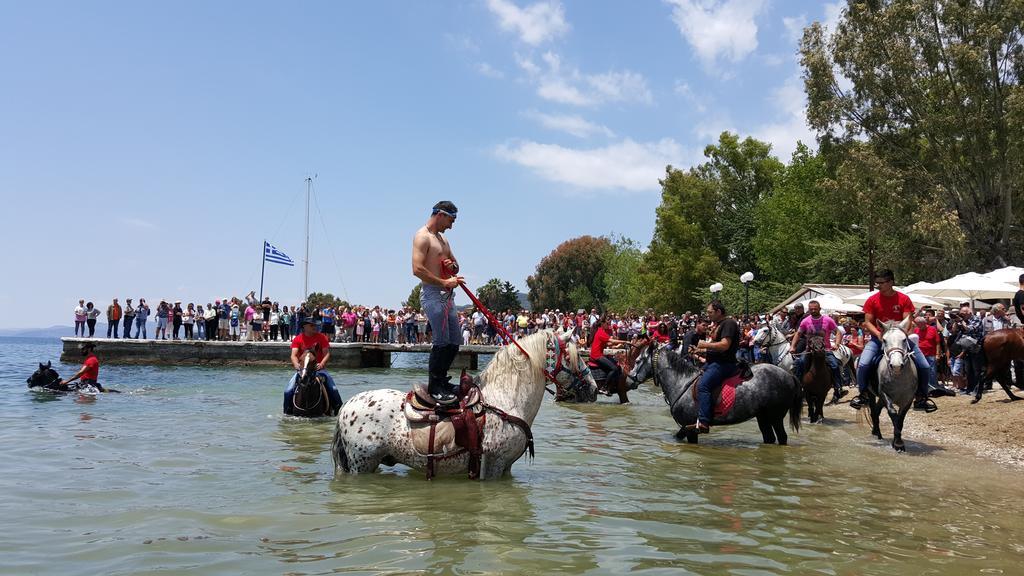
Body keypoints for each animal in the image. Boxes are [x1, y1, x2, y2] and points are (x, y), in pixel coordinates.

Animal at [331, 330, 598, 477]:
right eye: (574, 357)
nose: (594, 389)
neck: (507, 400)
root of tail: (346, 407)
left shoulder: (505, 468)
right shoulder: (493, 466)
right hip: (361, 464)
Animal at [622, 340, 798, 444]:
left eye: (637, 361)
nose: (628, 380)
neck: (681, 381)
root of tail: (788, 375)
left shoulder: (690, 427)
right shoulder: (686, 427)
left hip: (775, 416)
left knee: (782, 437)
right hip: (763, 416)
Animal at [860, 319, 917, 450]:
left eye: (904, 339)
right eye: (884, 340)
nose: (896, 365)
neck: (898, 378)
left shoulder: (908, 399)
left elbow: (900, 418)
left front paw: (898, 442)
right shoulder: (884, 394)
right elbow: (893, 413)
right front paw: (898, 443)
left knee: (876, 410)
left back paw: (876, 432)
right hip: (871, 393)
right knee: (874, 411)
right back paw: (877, 433)